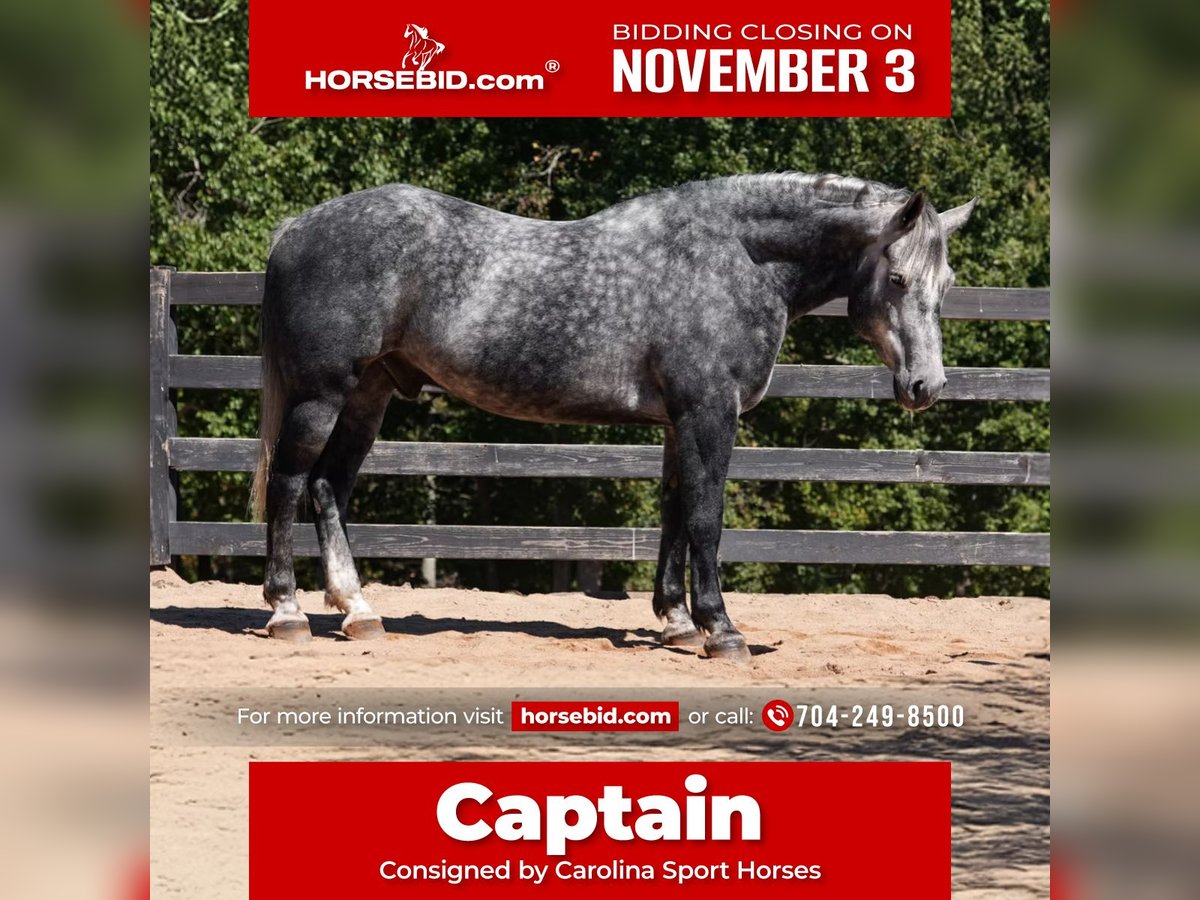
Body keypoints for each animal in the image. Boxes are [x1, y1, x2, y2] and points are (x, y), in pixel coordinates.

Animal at [251, 173, 976, 661]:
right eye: (899, 280)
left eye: (944, 286)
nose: (926, 386)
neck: (736, 258)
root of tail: (294, 228)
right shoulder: (709, 413)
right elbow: (706, 517)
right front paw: (721, 630)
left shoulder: (680, 421)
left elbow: (675, 511)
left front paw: (677, 621)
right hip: (322, 395)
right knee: (290, 484)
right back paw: (287, 611)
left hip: (369, 396)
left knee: (329, 487)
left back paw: (358, 611)